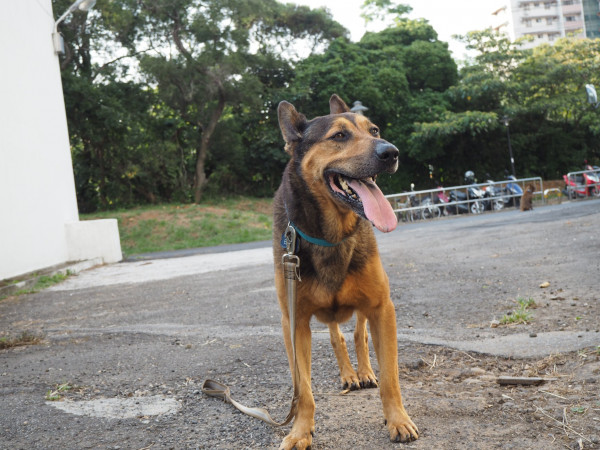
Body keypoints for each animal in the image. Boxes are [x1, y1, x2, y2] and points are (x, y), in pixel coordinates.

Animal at [274, 95, 420, 450]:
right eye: (339, 136)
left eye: (375, 130)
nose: (391, 152)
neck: (331, 235)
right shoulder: (294, 322)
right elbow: (303, 390)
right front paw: (300, 431)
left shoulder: (382, 308)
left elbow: (390, 378)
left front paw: (397, 420)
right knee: (337, 336)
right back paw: (349, 375)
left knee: (357, 334)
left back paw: (363, 372)